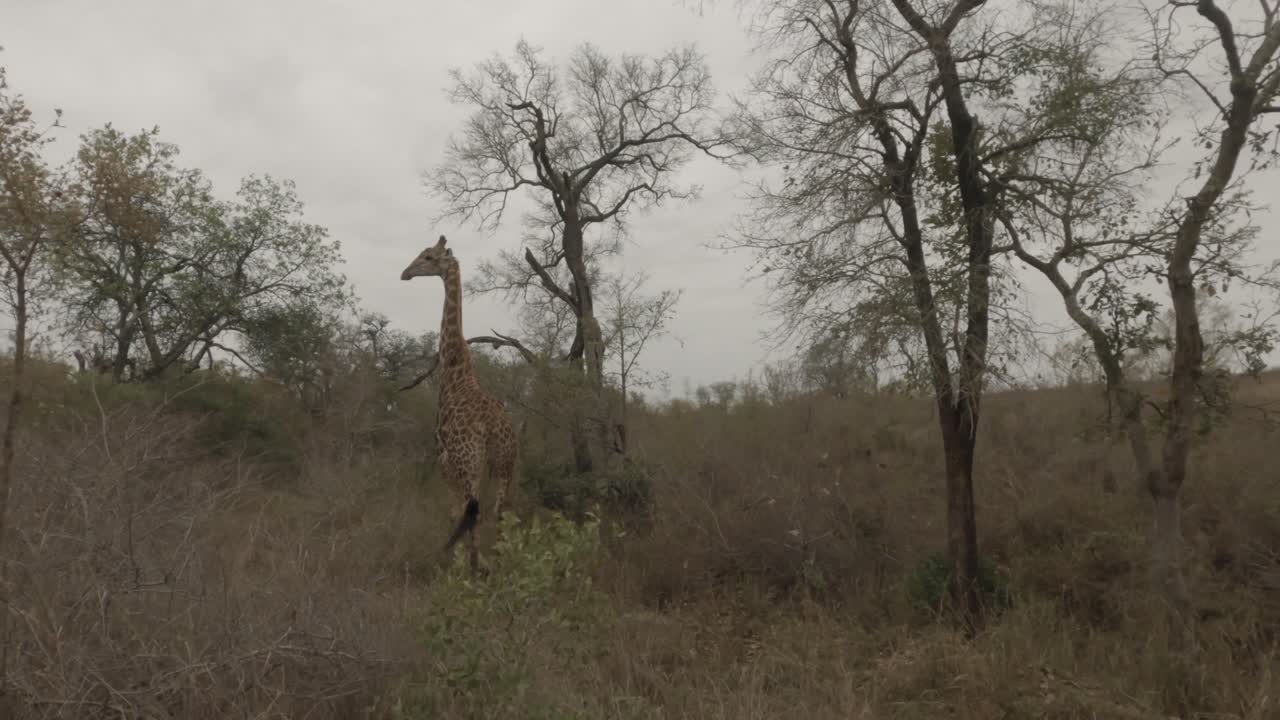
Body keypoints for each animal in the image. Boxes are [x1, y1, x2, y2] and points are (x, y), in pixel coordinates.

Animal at [401, 235, 518, 574]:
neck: (455, 370)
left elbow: (454, 512)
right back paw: (496, 563)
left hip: (471, 466)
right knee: (498, 511)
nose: (405, 273)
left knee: (473, 512)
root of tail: (493, 429)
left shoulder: (445, 460)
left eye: (428, 256)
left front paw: (454, 562)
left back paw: (474, 567)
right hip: (505, 465)